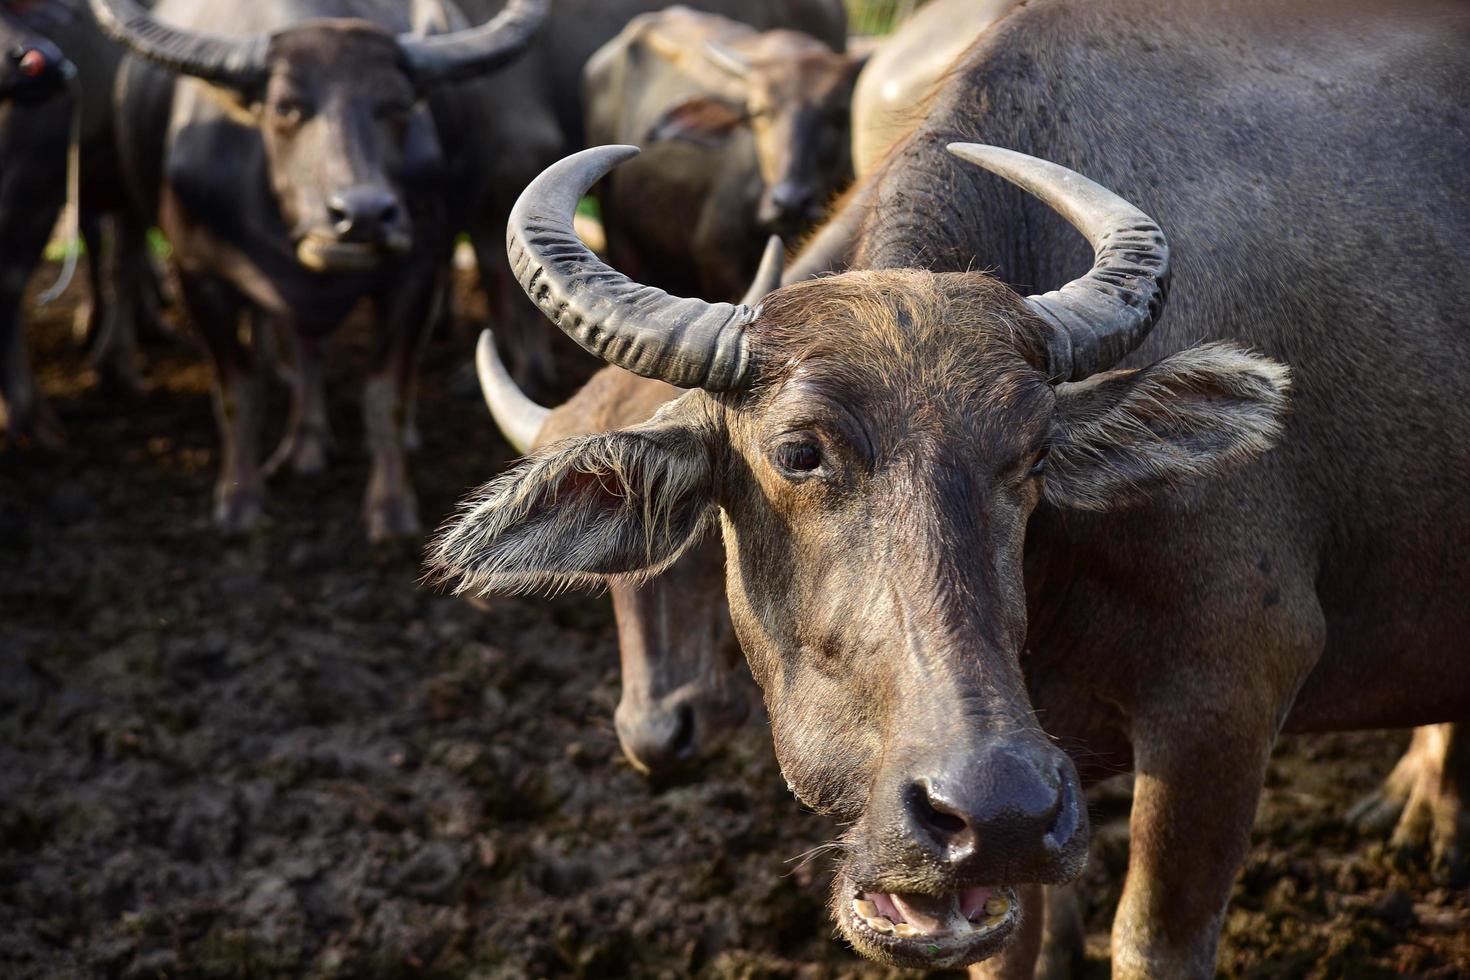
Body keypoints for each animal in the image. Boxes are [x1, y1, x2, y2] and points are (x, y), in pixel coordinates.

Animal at [93, 0, 552, 537]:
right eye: (285, 108)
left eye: (397, 106)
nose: (364, 214)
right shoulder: (197, 275)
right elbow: (238, 392)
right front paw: (240, 500)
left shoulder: (416, 273)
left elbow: (386, 394)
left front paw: (390, 507)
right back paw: (302, 443)